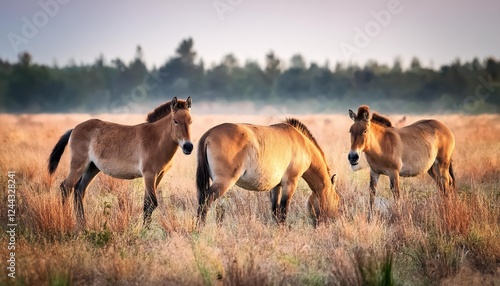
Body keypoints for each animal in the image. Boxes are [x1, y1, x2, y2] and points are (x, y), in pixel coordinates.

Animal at [48, 96, 193, 228]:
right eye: (175, 121)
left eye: (190, 121)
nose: (188, 147)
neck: (156, 139)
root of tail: (74, 129)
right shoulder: (149, 175)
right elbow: (151, 203)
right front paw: (145, 230)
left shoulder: (159, 175)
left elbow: (148, 203)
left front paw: (146, 228)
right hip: (78, 166)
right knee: (65, 187)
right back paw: (65, 218)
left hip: (92, 168)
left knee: (79, 190)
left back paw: (82, 224)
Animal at [195, 117, 340, 227]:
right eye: (337, 199)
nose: (334, 220)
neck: (303, 144)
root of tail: (208, 133)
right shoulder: (290, 183)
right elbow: (283, 210)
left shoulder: (276, 186)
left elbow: (275, 211)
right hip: (224, 182)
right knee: (206, 199)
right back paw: (200, 227)